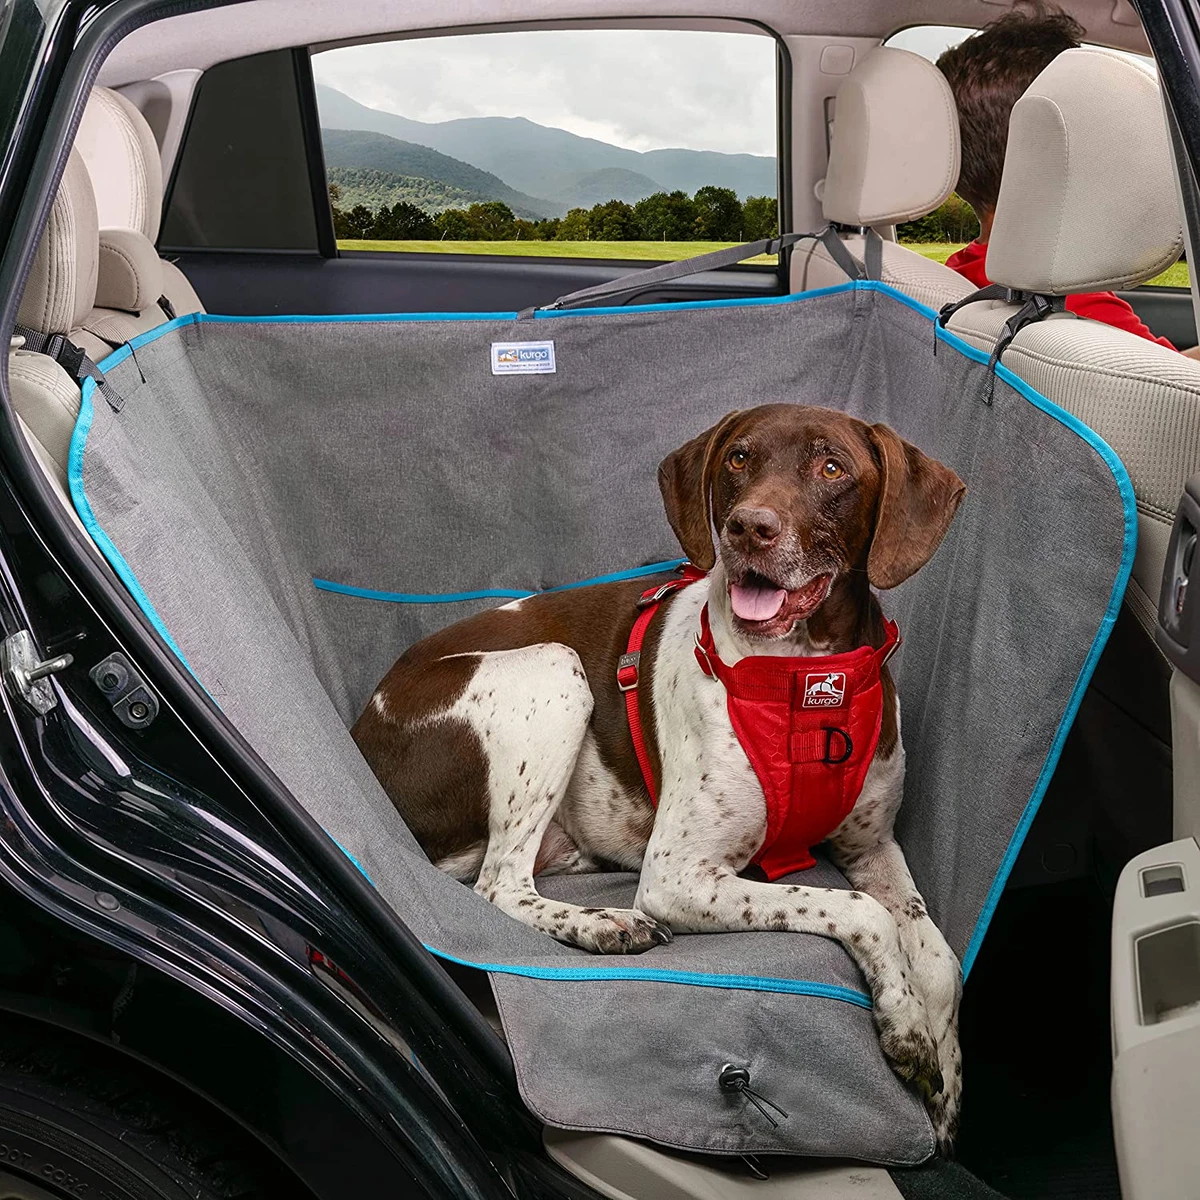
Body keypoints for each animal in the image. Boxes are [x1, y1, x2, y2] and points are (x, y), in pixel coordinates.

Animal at [352, 403, 964, 1142]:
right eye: (739, 458)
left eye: (832, 468)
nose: (748, 528)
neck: (807, 680)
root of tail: (364, 725)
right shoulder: (678, 878)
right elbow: (860, 910)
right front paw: (904, 1025)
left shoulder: (872, 846)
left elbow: (940, 958)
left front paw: (946, 1081)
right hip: (555, 669)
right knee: (499, 886)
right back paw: (603, 924)